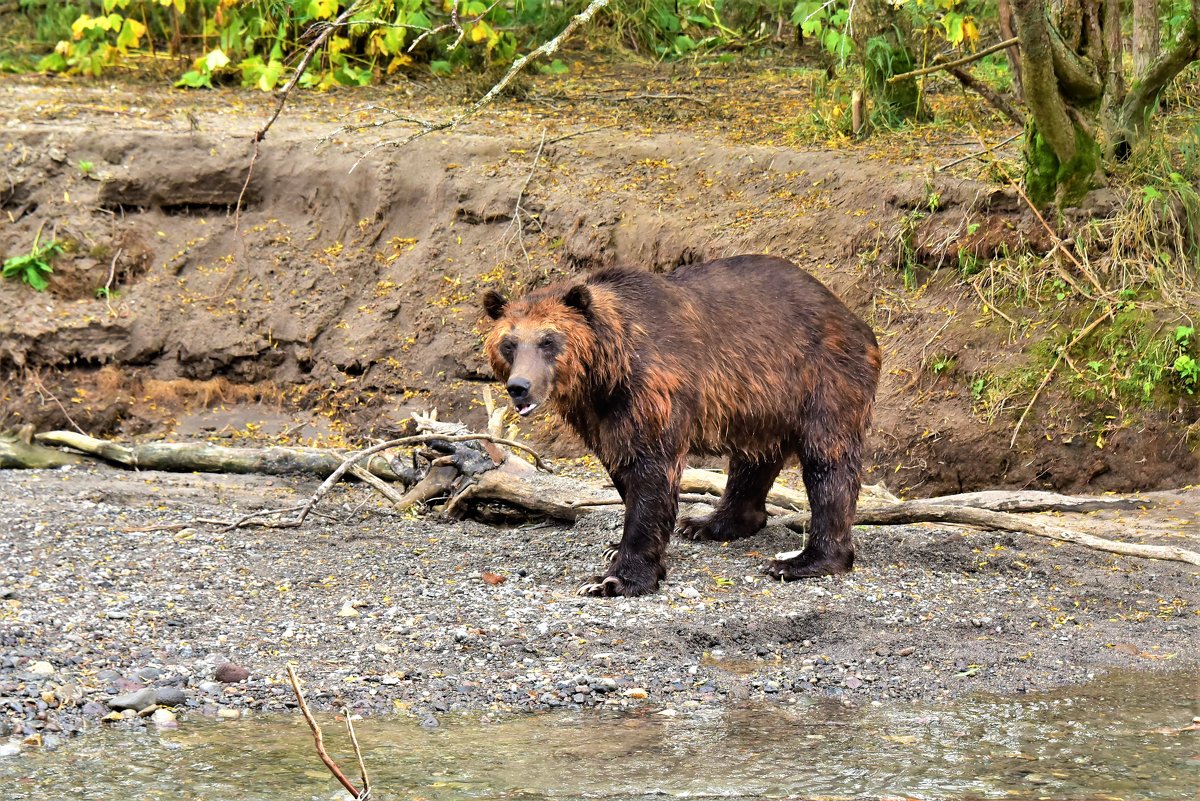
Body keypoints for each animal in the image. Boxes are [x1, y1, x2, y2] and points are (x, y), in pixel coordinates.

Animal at [480, 253, 883, 597]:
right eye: (509, 343)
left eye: (548, 340)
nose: (519, 386)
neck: (604, 373)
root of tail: (851, 316)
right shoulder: (599, 415)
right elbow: (621, 468)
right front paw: (616, 549)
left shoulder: (654, 387)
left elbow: (651, 471)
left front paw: (614, 579)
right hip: (760, 400)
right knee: (752, 461)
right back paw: (710, 523)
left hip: (821, 377)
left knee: (828, 462)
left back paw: (805, 560)